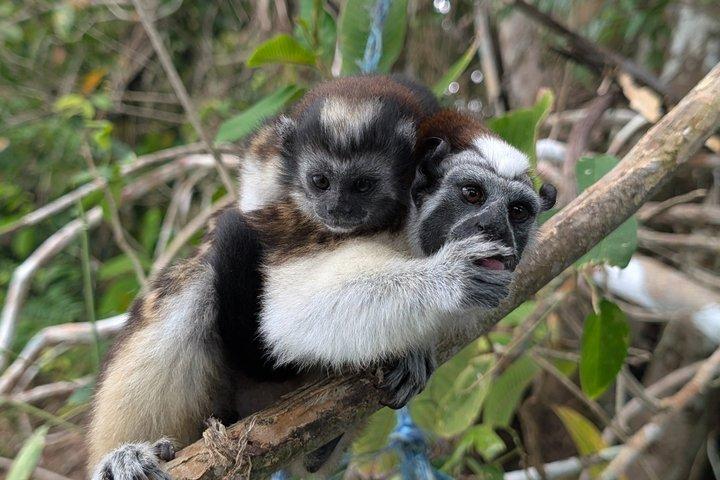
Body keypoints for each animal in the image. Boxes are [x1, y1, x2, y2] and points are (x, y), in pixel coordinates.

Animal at [88, 106, 556, 479]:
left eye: (518, 212)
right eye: (471, 194)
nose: (493, 228)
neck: (408, 237)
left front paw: (415, 351)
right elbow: (289, 315)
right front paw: (451, 279)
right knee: (199, 284)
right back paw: (124, 455)